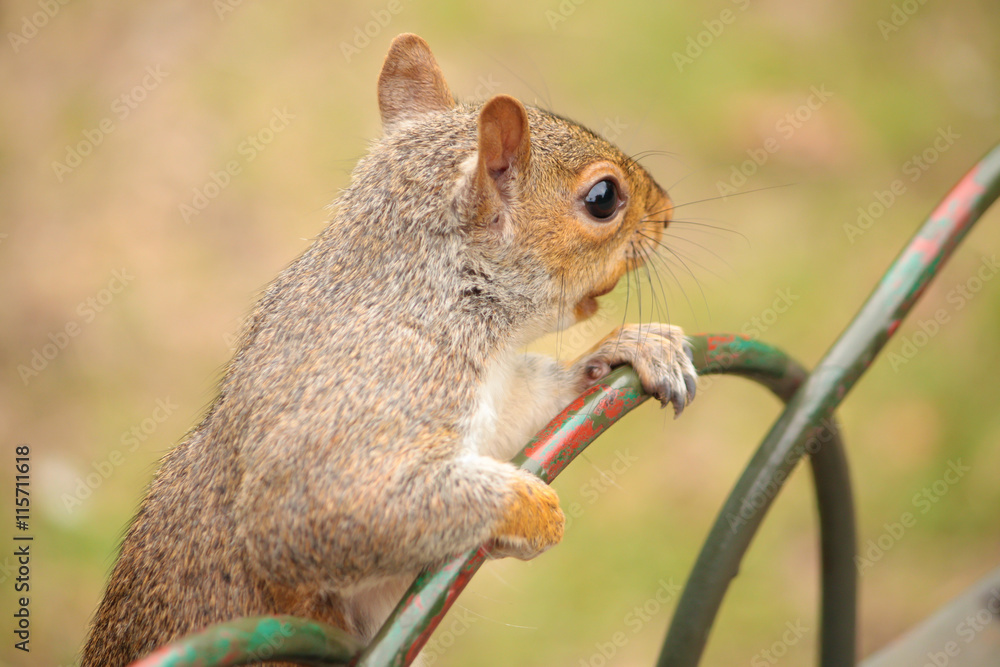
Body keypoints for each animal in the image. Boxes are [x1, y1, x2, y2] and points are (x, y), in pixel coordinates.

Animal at [81, 34, 697, 666]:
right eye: (603, 198)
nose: (668, 214)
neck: (436, 295)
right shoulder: (384, 385)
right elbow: (318, 516)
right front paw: (525, 507)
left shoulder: (496, 399)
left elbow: (532, 414)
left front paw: (636, 348)